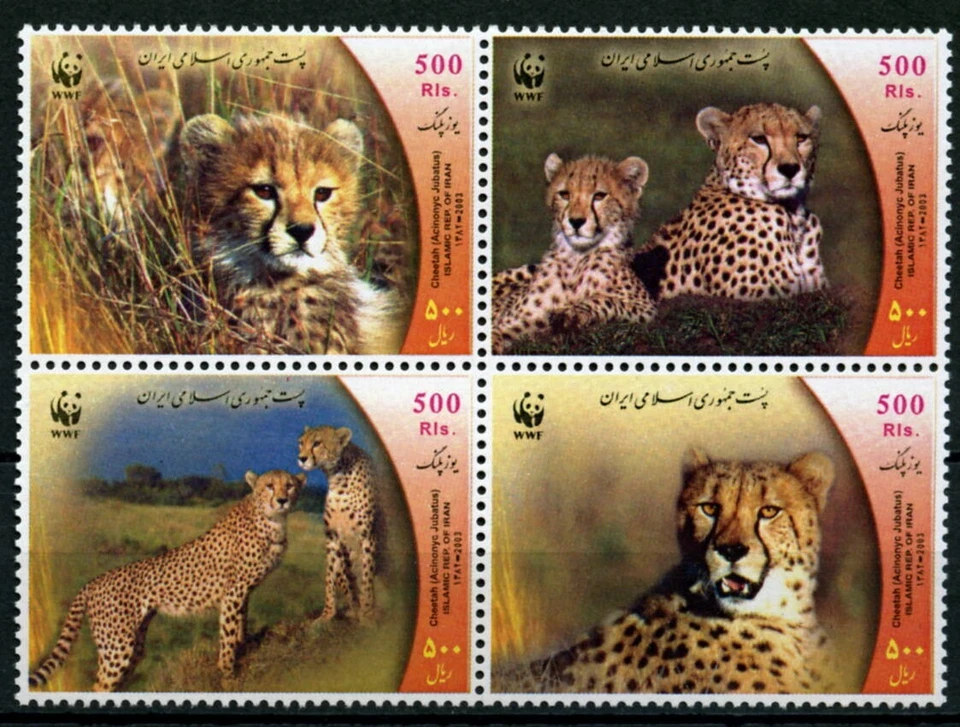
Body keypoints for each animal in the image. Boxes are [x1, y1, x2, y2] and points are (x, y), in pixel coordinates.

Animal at [29, 470, 305, 692]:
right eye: (269, 485)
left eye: (290, 485)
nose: (282, 500)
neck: (270, 519)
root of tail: (94, 581)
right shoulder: (233, 592)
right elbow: (227, 635)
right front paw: (228, 675)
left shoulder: (243, 592)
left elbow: (240, 624)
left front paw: (243, 646)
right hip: (117, 647)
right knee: (99, 686)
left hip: (133, 645)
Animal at [298, 425, 381, 622]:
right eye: (301, 442)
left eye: (317, 443)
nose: (301, 458)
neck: (336, 478)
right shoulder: (333, 537)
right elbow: (330, 577)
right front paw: (327, 614)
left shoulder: (368, 536)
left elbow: (367, 577)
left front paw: (368, 613)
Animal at [491, 153, 657, 354]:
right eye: (565, 194)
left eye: (599, 196)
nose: (576, 221)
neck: (576, 260)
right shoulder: (515, 321)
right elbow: (495, 332)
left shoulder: (645, 308)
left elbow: (607, 300)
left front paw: (572, 312)